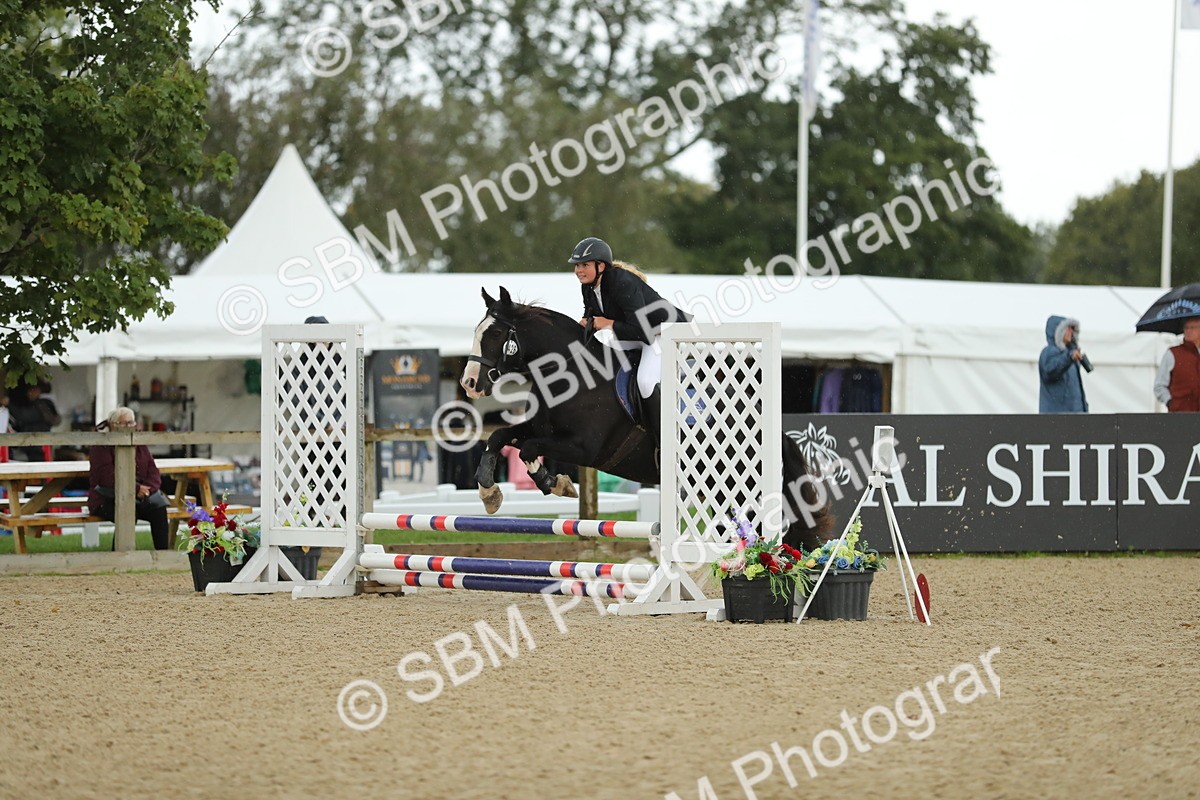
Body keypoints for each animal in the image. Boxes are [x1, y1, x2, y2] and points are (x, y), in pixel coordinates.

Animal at [459, 287, 835, 550]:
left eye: (495, 334)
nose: (469, 384)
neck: (571, 375)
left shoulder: (583, 448)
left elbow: (528, 450)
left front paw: (555, 482)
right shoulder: (540, 430)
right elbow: (500, 438)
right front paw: (489, 492)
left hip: (737, 483)